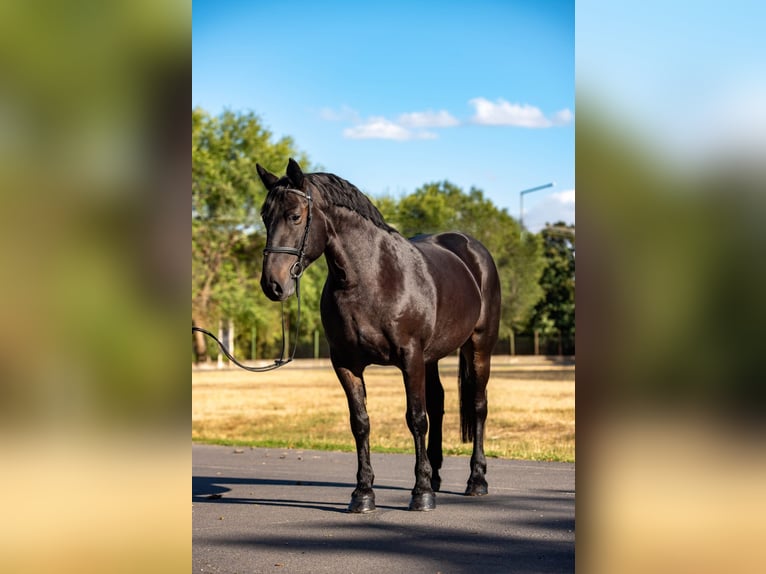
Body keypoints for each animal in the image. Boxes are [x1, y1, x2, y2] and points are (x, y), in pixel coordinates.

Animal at [257, 159, 501, 512]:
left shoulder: (410, 357)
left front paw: (421, 493)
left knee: (479, 405)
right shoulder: (346, 363)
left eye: (295, 216)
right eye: (265, 216)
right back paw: (436, 476)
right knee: (438, 403)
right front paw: (363, 494)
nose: (273, 285)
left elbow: (416, 418)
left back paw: (476, 480)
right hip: (432, 357)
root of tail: (472, 249)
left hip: (479, 345)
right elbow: (360, 423)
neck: (370, 277)